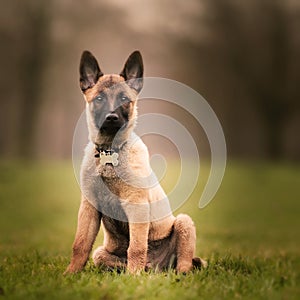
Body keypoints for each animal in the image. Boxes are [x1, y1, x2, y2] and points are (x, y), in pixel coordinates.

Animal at [64, 49, 203, 274]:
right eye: (99, 98)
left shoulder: (136, 205)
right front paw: (71, 273)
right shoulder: (89, 208)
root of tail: (156, 266)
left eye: (124, 99)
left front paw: (133, 276)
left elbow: (136, 247)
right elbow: (81, 244)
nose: (111, 117)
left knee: (184, 262)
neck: (110, 152)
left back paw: (167, 273)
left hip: (184, 223)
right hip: (100, 254)